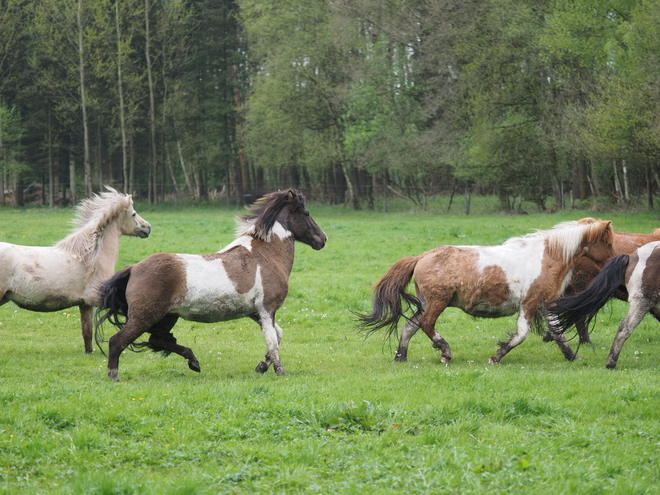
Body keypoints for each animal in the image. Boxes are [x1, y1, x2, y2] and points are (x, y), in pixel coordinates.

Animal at [0, 186, 151, 352]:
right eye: (134, 214)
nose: (148, 228)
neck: (92, 256)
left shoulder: (85, 304)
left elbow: (87, 332)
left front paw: (89, 352)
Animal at [94, 190, 328, 384]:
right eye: (306, 213)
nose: (323, 239)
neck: (265, 255)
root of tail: (133, 268)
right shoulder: (267, 309)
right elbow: (273, 342)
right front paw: (280, 371)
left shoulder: (256, 313)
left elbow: (277, 336)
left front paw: (261, 366)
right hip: (145, 316)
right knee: (117, 341)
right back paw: (114, 376)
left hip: (167, 316)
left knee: (157, 340)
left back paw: (193, 362)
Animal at [358, 219, 616, 366]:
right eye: (609, 243)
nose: (616, 261)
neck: (547, 257)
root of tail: (422, 257)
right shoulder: (529, 304)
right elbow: (521, 335)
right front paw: (497, 356)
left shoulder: (545, 305)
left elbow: (558, 334)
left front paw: (573, 357)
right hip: (438, 301)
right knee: (426, 324)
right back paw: (445, 351)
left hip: (425, 302)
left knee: (409, 327)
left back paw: (401, 357)